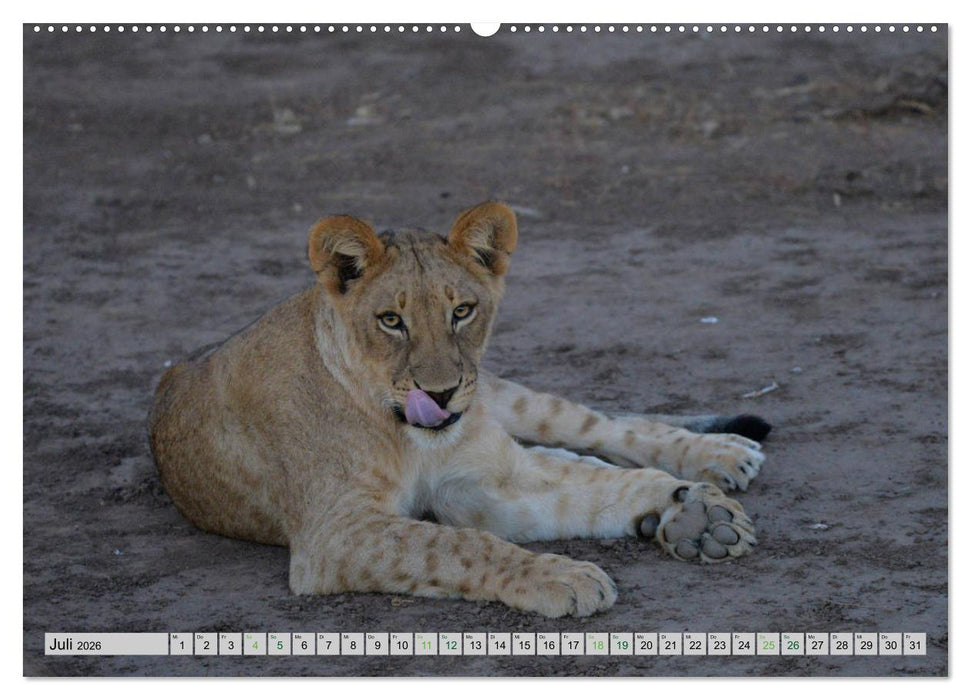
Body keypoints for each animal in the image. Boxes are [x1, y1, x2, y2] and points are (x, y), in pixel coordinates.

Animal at [149, 201, 770, 618]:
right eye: (390, 321)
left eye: (463, 311)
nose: (442, 393)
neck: (406, 436)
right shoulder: (337, 531)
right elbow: (463, 545)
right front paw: (566, 575)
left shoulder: (485, 477)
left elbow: (592, 485)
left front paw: (690, 506)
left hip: (504, 399)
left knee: (599, 428)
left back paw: (717, 462)